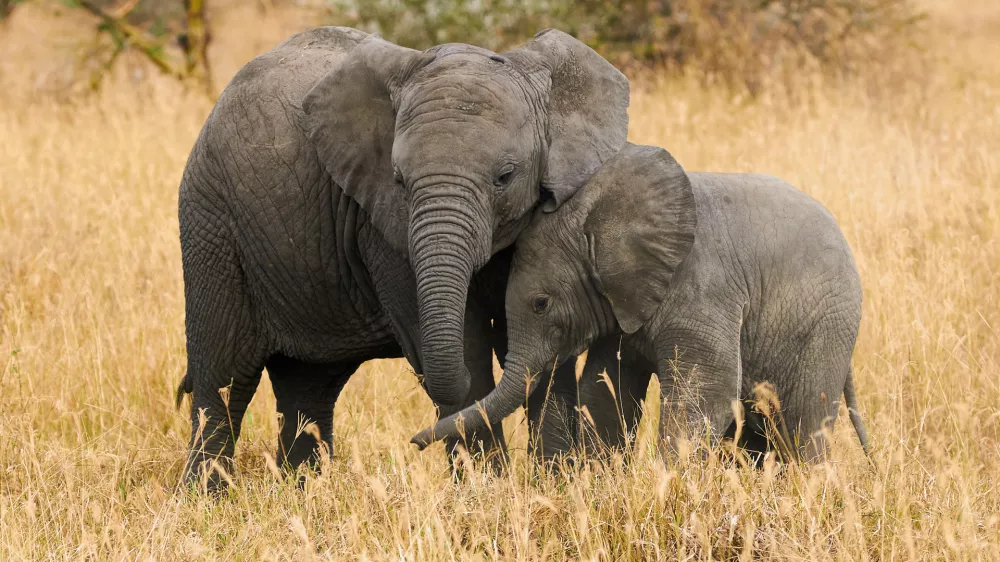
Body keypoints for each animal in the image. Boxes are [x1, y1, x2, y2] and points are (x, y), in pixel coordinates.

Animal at [174, 26, 629, 487]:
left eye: (505, 177)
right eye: (399, 181)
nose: (414, 442)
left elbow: (545, 346)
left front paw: (559, 483)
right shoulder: (382, 228)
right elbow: (468, 348)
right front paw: (487, 490)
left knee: (308, 388)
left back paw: (303, 489)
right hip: (211, 225)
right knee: (224, 379)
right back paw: (207, 496)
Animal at [413, 143, 871, 464]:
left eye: (541, 304)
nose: (414, 442)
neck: (597, 217)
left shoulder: (702, 289)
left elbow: (706, 393)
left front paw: (669, 483)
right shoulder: (620, 304)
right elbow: (605, 388)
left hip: (827, 325)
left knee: (803, 422)